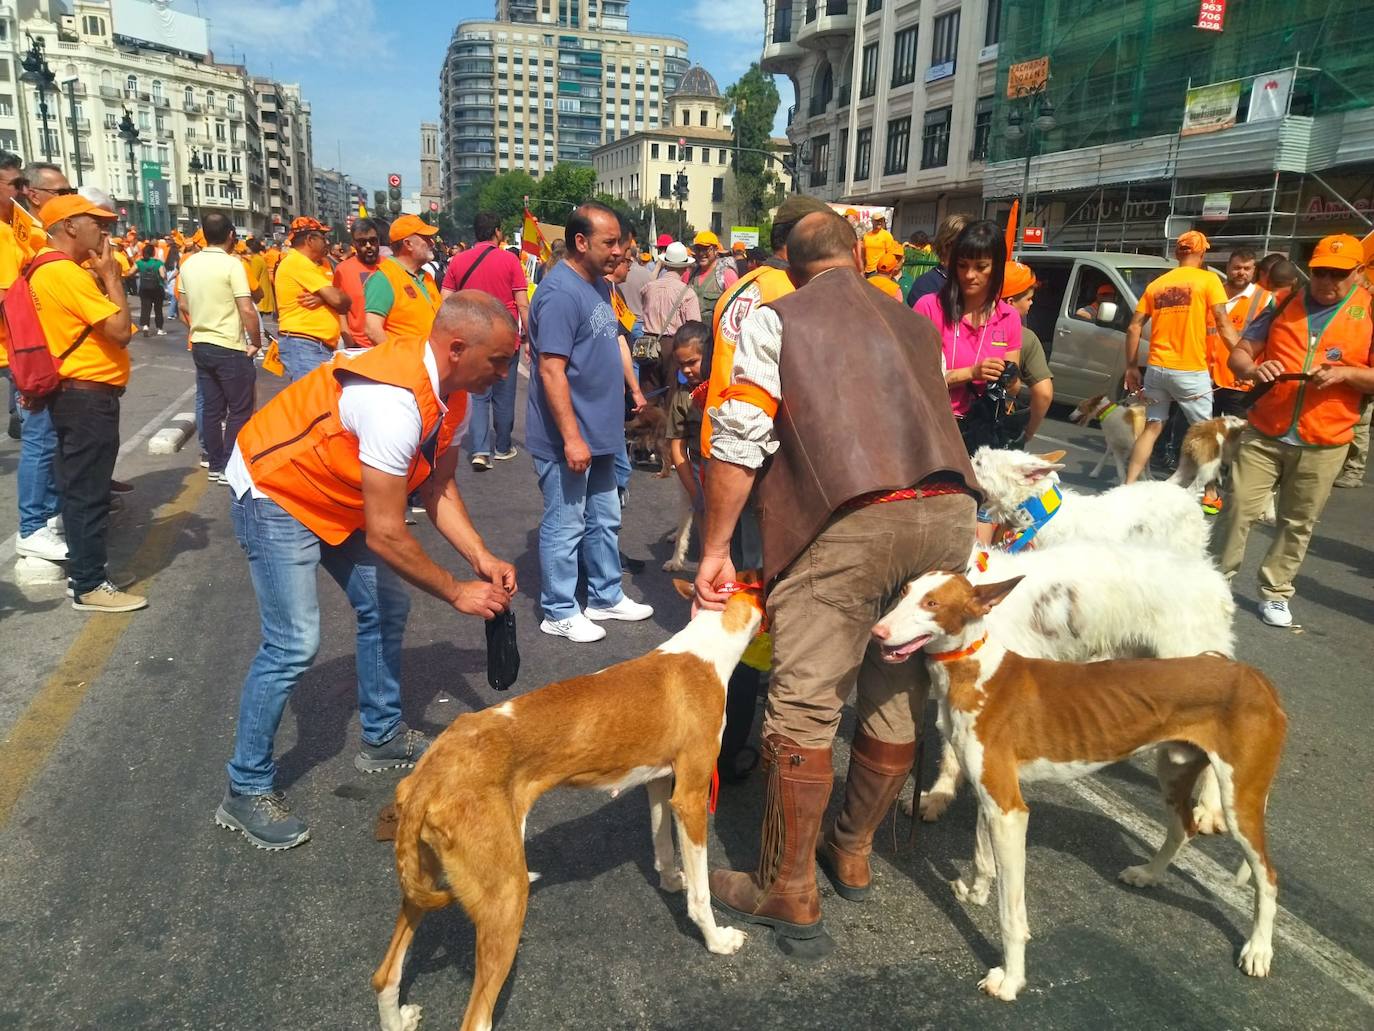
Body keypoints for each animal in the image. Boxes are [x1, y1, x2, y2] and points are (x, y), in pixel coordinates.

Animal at [370, 588, 769, 1031]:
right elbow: (700, 895)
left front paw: (668, 880)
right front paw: (717, 940)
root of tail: (429, 774)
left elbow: (662, 844)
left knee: (384, 974)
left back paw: (397, 1019)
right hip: (505, 899)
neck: (705, 649)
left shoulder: (659, 781)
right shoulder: (693, 795)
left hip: (422, 884)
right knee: (475, 1018)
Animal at [868, 574, 1286, 1000]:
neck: (977, 674)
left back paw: (1258, 949)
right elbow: (982, 858)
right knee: (1183, 827)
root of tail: (1252, 676)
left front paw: (1011, 978)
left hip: (1240, 799)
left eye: (932, 604)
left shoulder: (1010, 812)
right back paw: (1148, 874)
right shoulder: (991, 796)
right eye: (905, 592)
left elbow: (1010, 914)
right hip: (1174, 768)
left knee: (1268, 878)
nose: (877, 632)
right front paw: (976, 893)